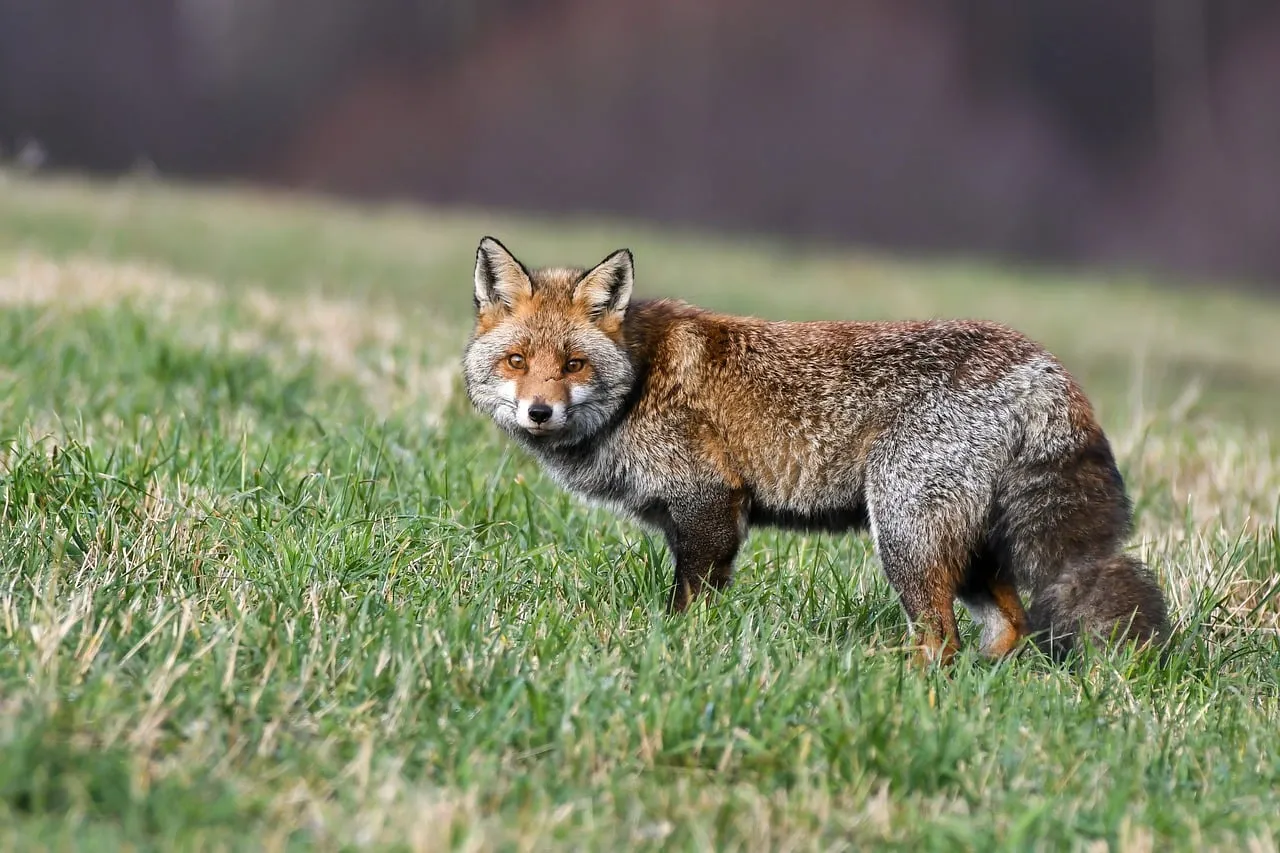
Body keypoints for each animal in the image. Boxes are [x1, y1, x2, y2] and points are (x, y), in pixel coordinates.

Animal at [462, 236, 1171, 663]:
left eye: (574, 364)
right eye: (518, 361)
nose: (539, 411)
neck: (638, 382)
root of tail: (1039, 362)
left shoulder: (709, 501)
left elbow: (687, 605)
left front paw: (680, 653)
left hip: (905, 532)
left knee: (939, 638)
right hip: (966, 547)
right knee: (1010, 625)